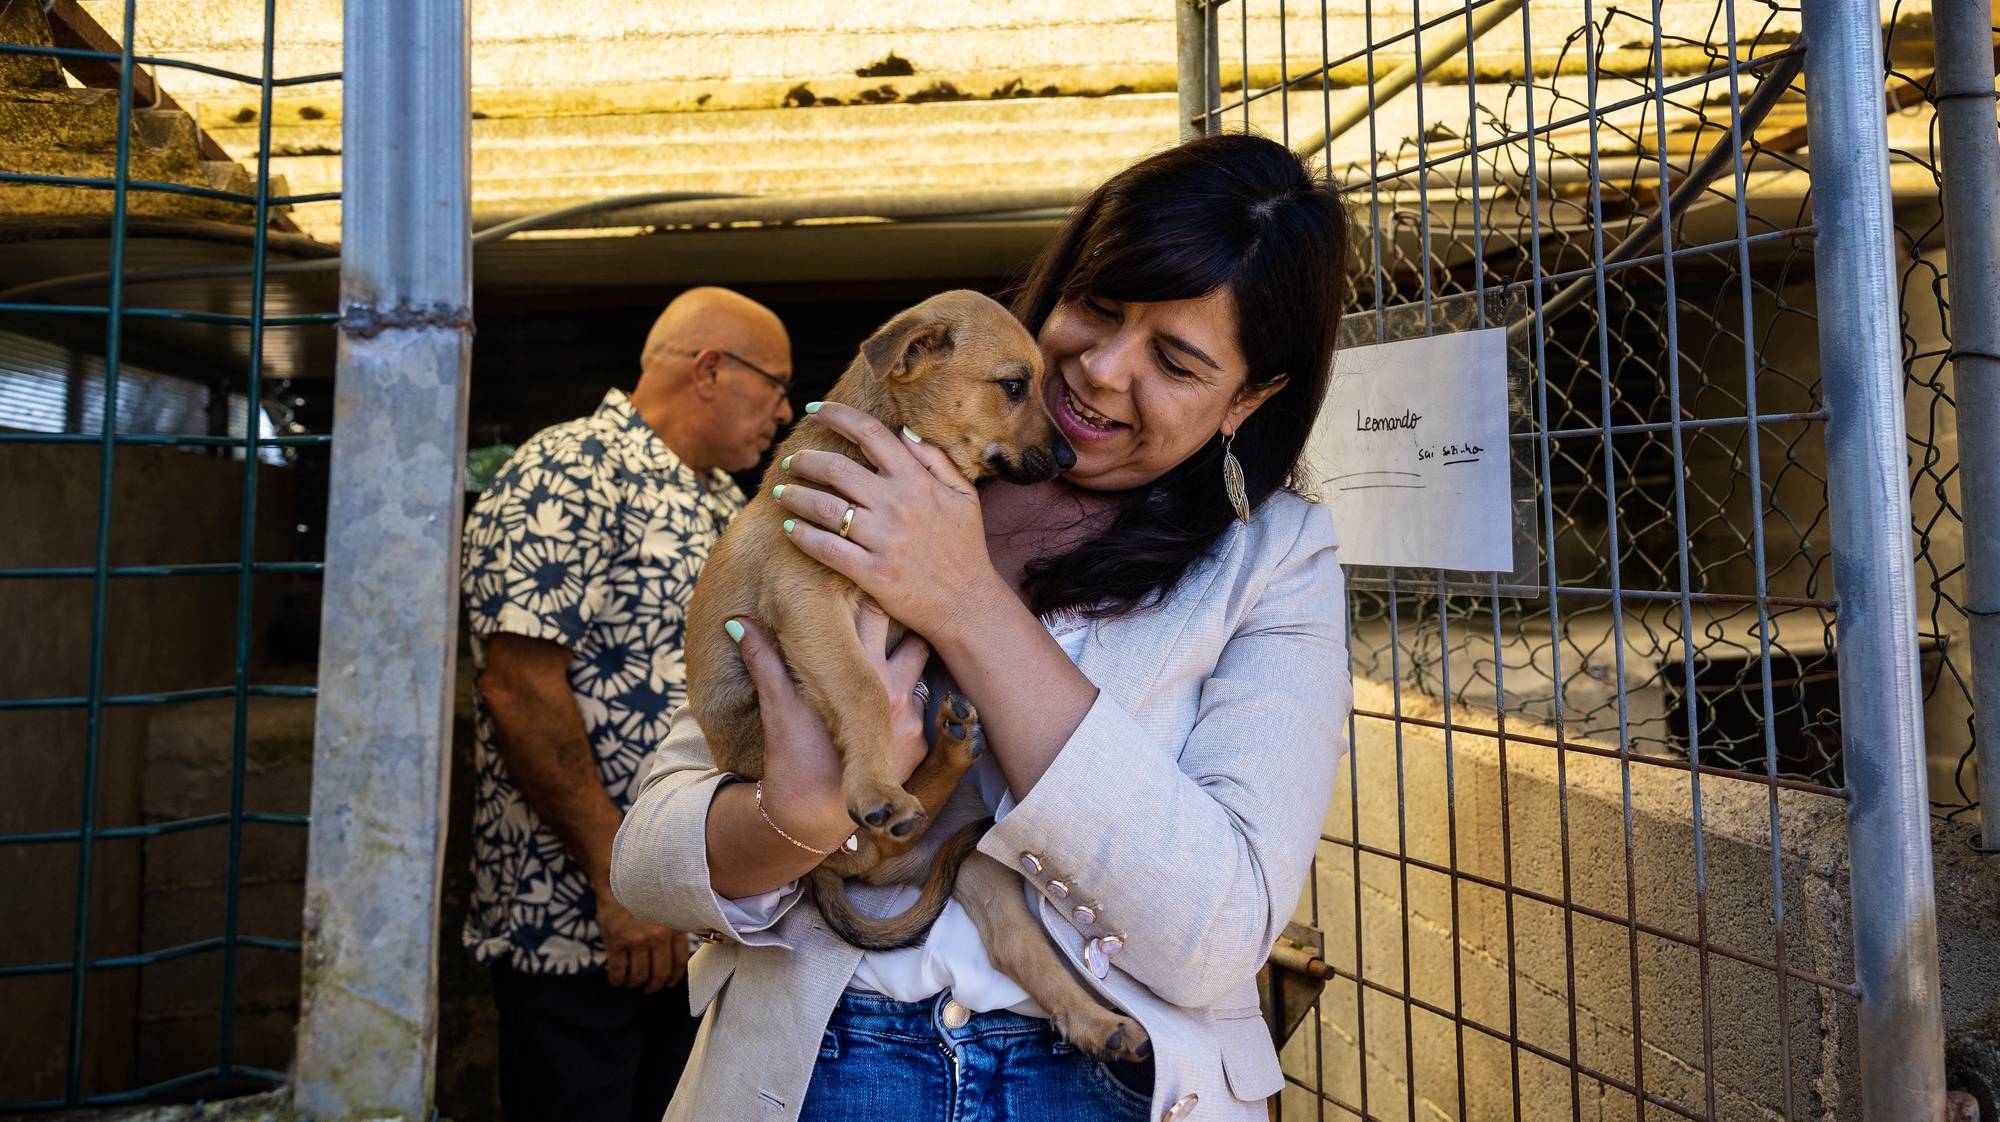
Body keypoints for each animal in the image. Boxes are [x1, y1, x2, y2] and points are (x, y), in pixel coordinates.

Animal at [688, 288, 1152, 1056]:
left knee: (1018, 947)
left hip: (980, 870)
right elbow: (863, 691)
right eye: (1015, 386)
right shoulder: (807, 595)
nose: (1067, 456)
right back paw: (905, 789)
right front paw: (875, 781)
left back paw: (1100, 1021)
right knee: (880, 834)